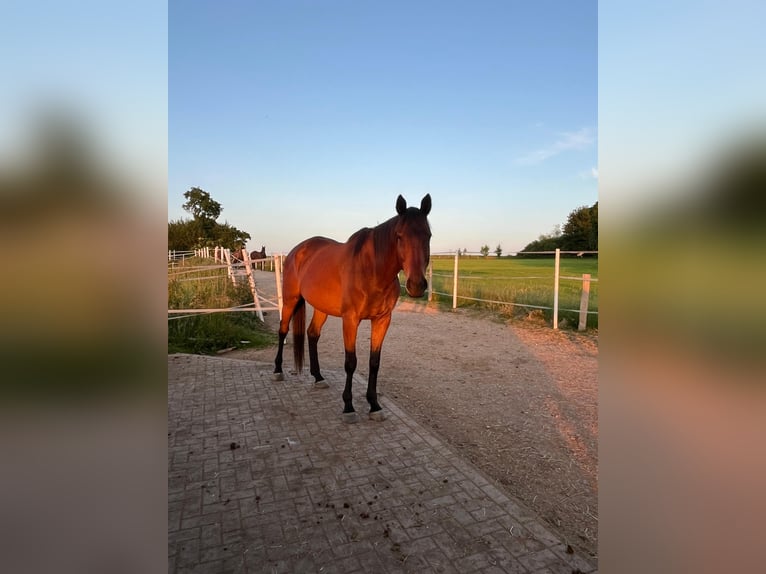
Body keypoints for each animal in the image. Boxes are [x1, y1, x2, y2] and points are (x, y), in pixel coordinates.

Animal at [274, 194, 432, 423]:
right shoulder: (350, 320)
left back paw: (318, 377)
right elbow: (351, 362)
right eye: (400, 236)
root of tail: (296, 251)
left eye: (428, 235)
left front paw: (374, 405)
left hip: (322, 308)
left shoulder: (383, 320)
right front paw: (348, 407)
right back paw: (278, 370)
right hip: (290, 300)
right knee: (283, 330)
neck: (371, 270)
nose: (416, 285)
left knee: (312, 334)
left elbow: (374, 363)